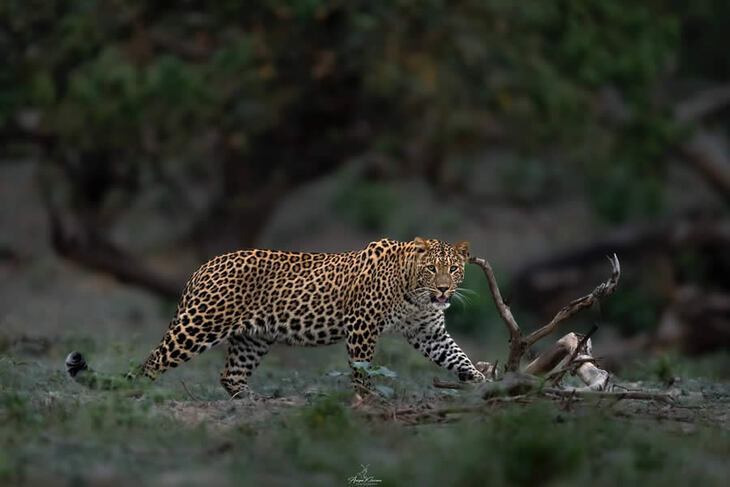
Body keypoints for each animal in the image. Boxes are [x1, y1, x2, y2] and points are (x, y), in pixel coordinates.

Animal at [62, 238, 484, 398]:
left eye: (453, 270)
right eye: (431, 269)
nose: (444, 290)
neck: (415, 294)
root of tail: (202, 267)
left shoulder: (429, 333)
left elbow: (459, 358)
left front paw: (487, 384)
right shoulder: (362, 326)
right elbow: (363, 369)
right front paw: (368, 401)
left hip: (253, 337)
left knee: (229, 375)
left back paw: (253, 403)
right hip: (198, 326)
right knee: (152, 361)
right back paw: (136, 395)